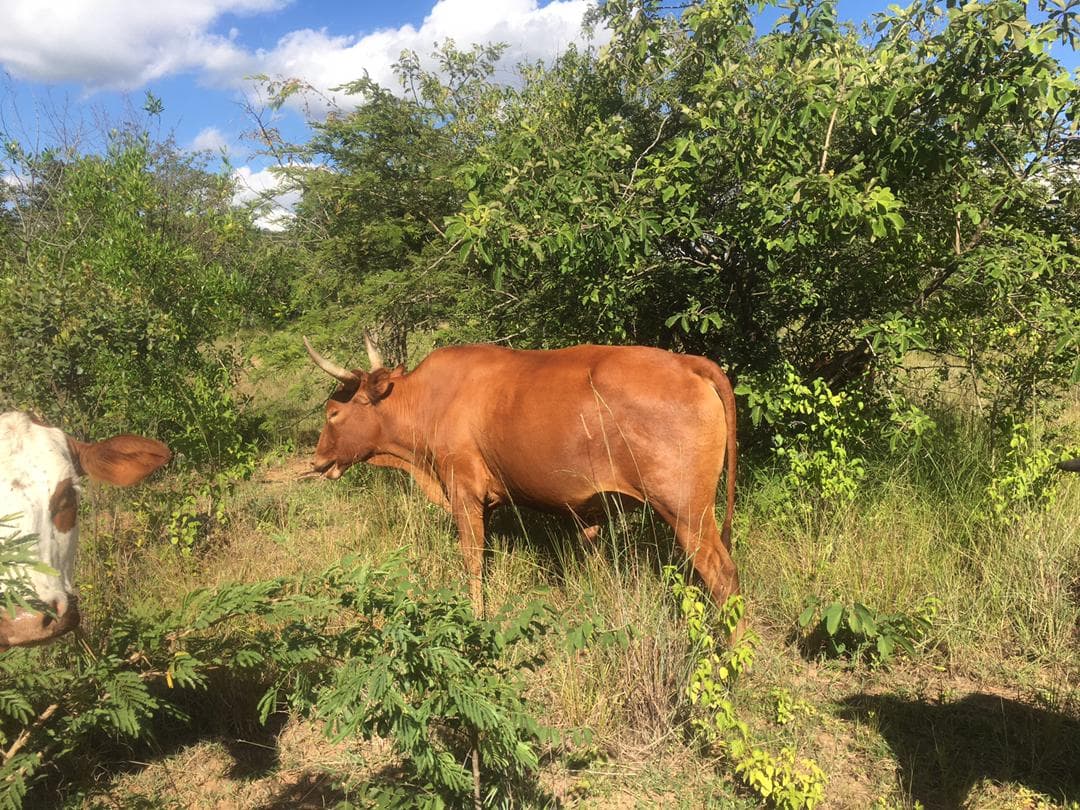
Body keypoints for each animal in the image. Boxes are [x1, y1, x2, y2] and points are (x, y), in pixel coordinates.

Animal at [304, 336, 740, 622]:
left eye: (333, 413)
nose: (317, 459)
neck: (430, 400)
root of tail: (687, 363)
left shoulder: (463, 490)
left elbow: (472, 559)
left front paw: (476, 615)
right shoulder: (489, 501)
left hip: (687, 512)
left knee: (724, 578)